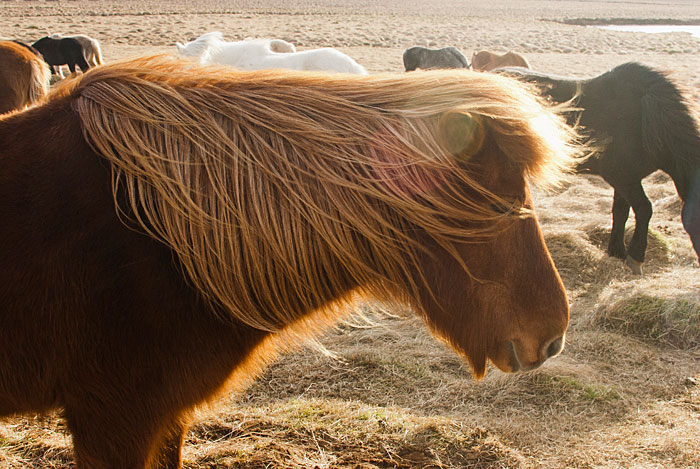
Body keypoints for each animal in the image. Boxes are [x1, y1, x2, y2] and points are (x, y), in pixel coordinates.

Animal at [498, 63, 700, 274]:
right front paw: (635, 258)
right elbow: (644, 209)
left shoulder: (627, 180)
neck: (643, 118)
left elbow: (621, 211)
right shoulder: (623, 178)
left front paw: (617, 252)